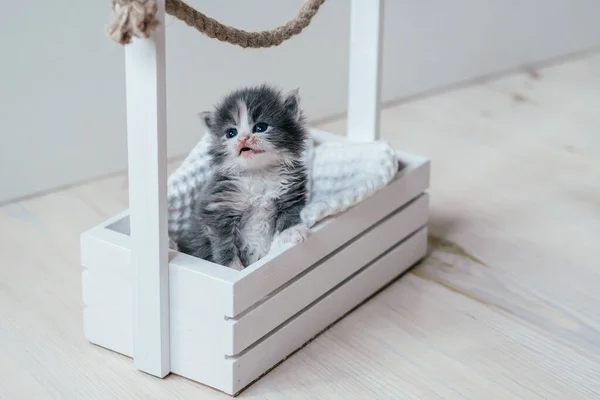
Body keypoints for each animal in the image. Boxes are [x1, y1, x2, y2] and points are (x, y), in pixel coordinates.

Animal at [176, 85, 310, 270]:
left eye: (260, 127)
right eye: (231, 133)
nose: (243, 138)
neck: (258, 173)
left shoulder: (291, 192)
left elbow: (291, 213)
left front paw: (292, 231)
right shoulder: (218, 209)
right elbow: (224, 244)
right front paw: (233, 267)